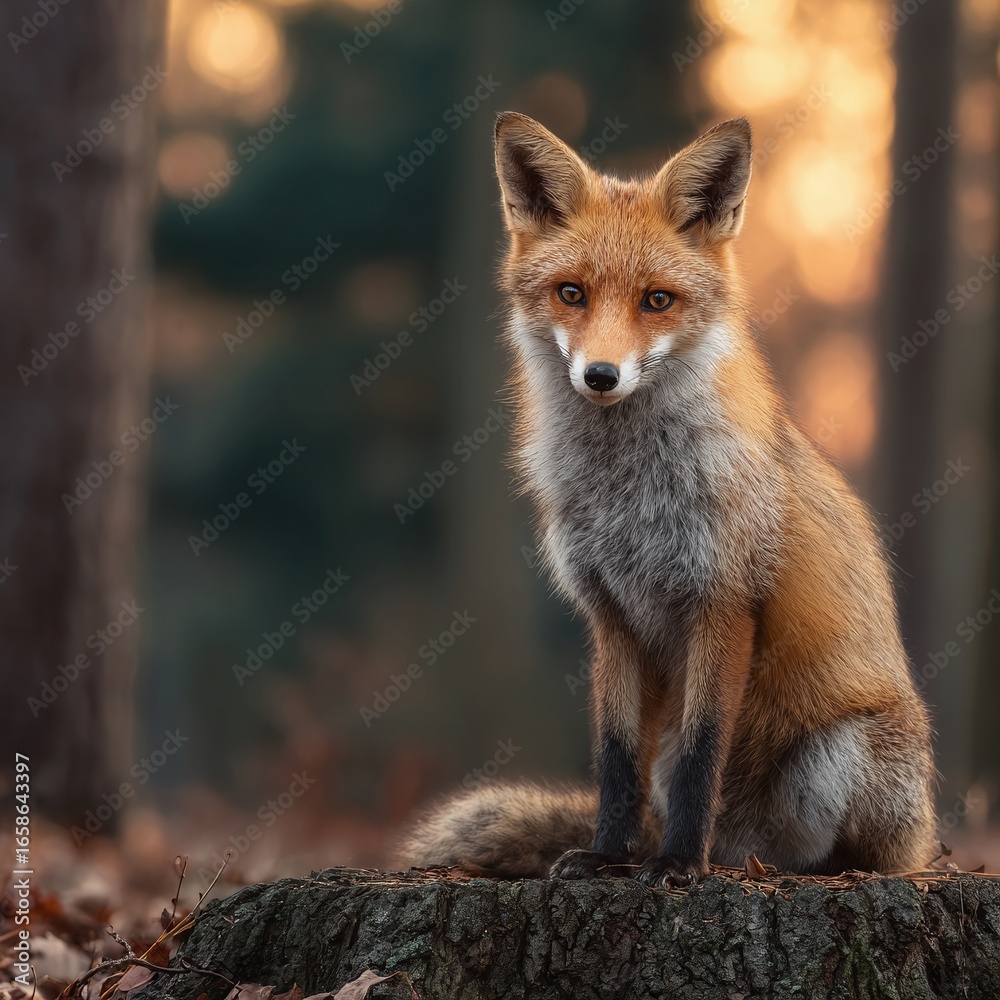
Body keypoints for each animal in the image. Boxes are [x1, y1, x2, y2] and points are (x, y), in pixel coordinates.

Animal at [398, 113, 937, 886]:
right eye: (571, 293)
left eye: (657, 300)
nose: (600, 374)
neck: (629, 495)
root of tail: (747, 848)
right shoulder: (612, 615)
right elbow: (617, 760)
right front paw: (608, 856)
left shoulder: (722, 602)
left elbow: (698, 753)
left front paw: (679, 864)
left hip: (842, 754)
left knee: (860, 857)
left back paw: (772, 864)